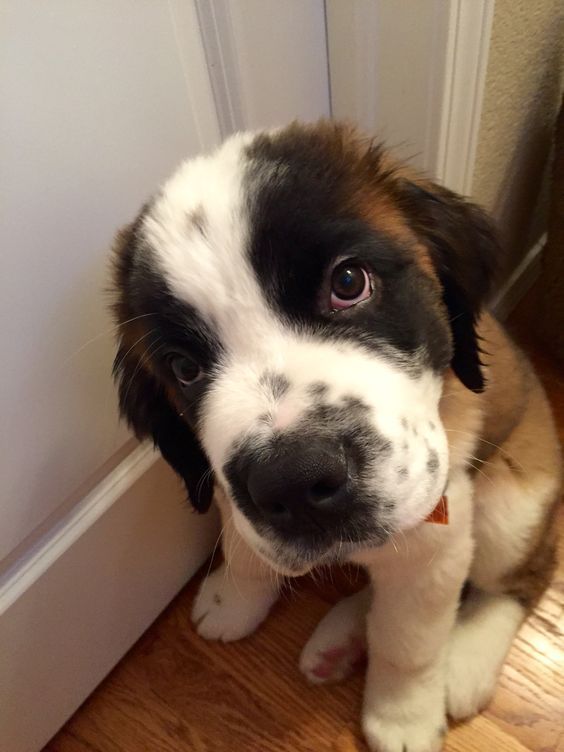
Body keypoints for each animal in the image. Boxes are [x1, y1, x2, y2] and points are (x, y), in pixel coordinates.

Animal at [110, 120, 560, 748]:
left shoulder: (440, 526)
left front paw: (402, 717)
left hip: (510, 506)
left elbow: (408, 643)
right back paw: (342, 638)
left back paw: (466, 660)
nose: (293, 483)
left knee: (523, 575)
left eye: (348, 282)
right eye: (184, 368)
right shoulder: (229, 487)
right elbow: (245, 548)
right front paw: (233, 600)